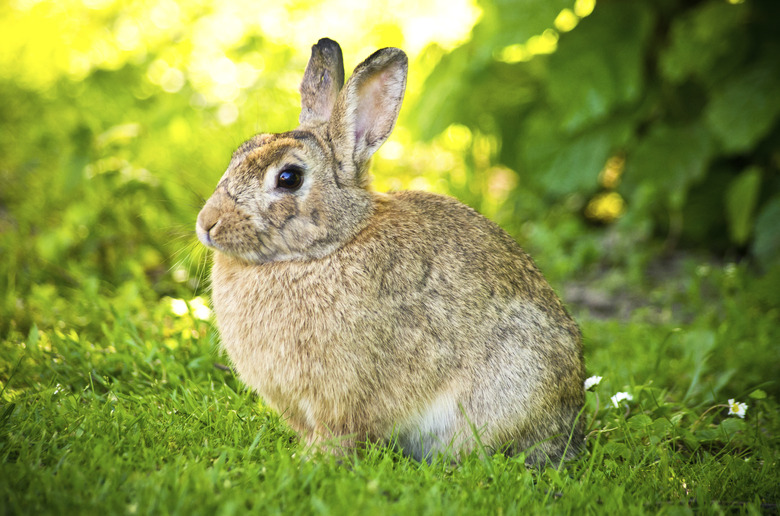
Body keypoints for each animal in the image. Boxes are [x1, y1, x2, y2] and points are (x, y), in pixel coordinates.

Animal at [195, 38, 584, 466]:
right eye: (241, 151)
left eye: (288, 178)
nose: (207, 223)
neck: (329, 245)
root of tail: (571, 420)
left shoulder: (342, 394)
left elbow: (340, 434)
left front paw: (310, 462)